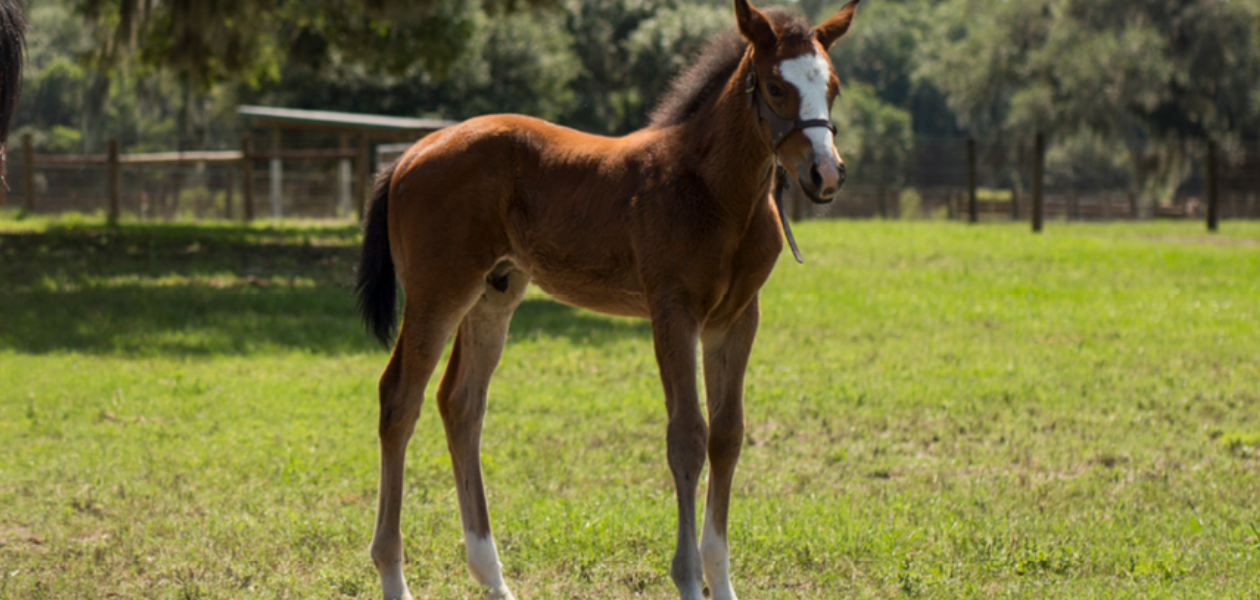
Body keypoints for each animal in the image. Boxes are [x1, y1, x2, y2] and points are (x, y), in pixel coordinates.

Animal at [355, 1, 859, 598]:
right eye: (777, 86)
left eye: (832, 85)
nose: (825, 174)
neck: (715, 191)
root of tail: (409, 154)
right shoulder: (672, 311)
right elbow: (687, 436)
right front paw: (689, 579)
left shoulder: (736, 318)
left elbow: (728, 434)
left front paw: (721, 579)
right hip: (438, 291)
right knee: (399, 397)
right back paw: (394, 575)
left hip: (494, 294)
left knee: (460, 403)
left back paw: (493, 577)